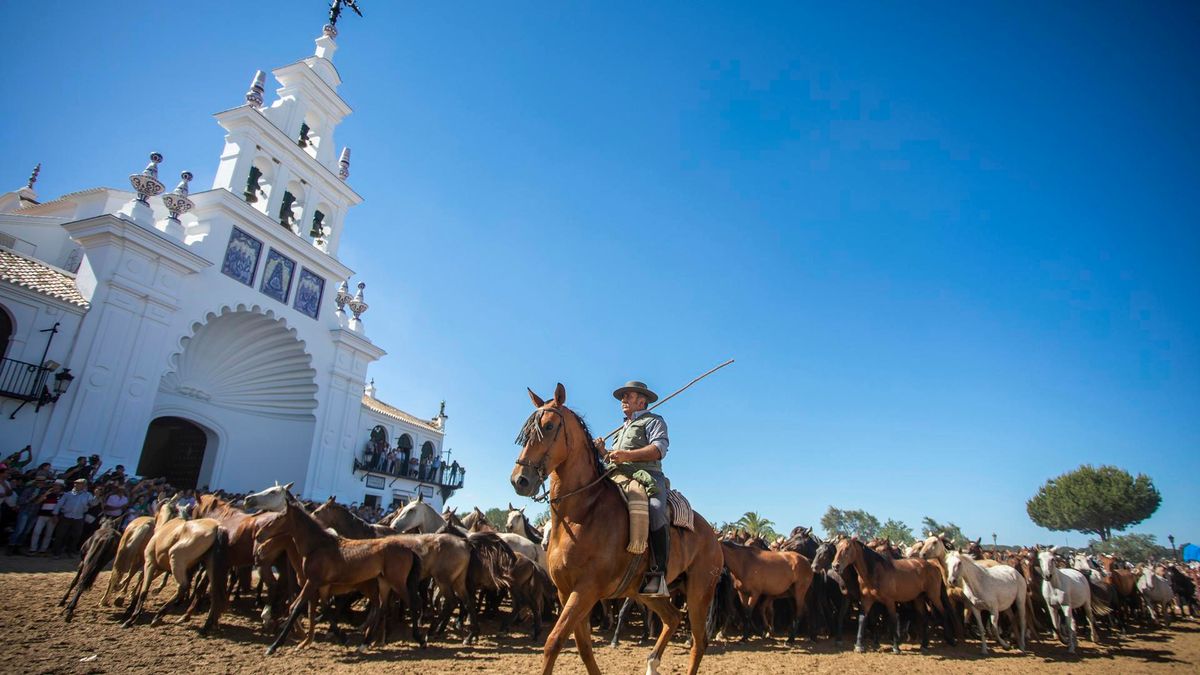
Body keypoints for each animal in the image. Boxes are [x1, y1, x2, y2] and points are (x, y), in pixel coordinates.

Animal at [508, 384, 720, 672]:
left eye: (549, 426)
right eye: (526, 431)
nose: (520, 480)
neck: (583, 512)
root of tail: (713, 536)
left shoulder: (585, 591)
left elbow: (553, 642)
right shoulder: (566, 592)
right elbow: (583, 646)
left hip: (699, 594)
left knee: (699, 642)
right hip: (649, 593)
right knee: (673, 618)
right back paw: (652, 664)